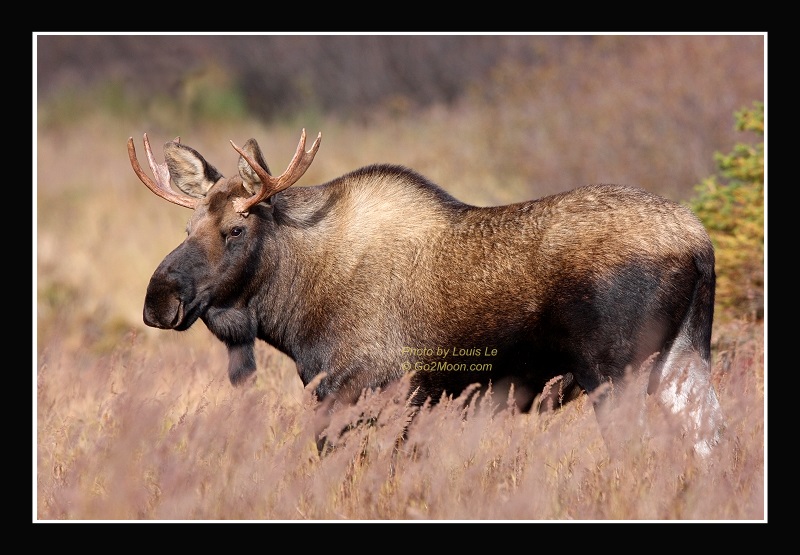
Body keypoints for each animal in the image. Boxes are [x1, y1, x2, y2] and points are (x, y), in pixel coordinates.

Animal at [128, 129, 725, 457]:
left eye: (236, 229)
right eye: (187, 229)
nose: (158, 300)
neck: (292, 306)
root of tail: (700, 245)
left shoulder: (362, 390)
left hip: (616, 375)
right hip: (684, 362)